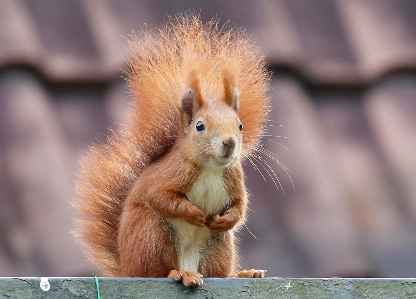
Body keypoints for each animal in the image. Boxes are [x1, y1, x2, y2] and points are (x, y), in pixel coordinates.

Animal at [72, 14, 270, 288]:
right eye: (200, 126)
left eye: (240, 125)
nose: (229, 142)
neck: (210, 168)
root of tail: (127, 268)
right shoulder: (171, 174)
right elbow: (161, 197)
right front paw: (195, 214)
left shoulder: (234, 179)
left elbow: (240, 207)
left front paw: (225, 219)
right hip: (151, 235)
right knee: (157, 270)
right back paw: (179, 274)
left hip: (218, 246)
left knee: (217, 273)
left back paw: (240, 274)